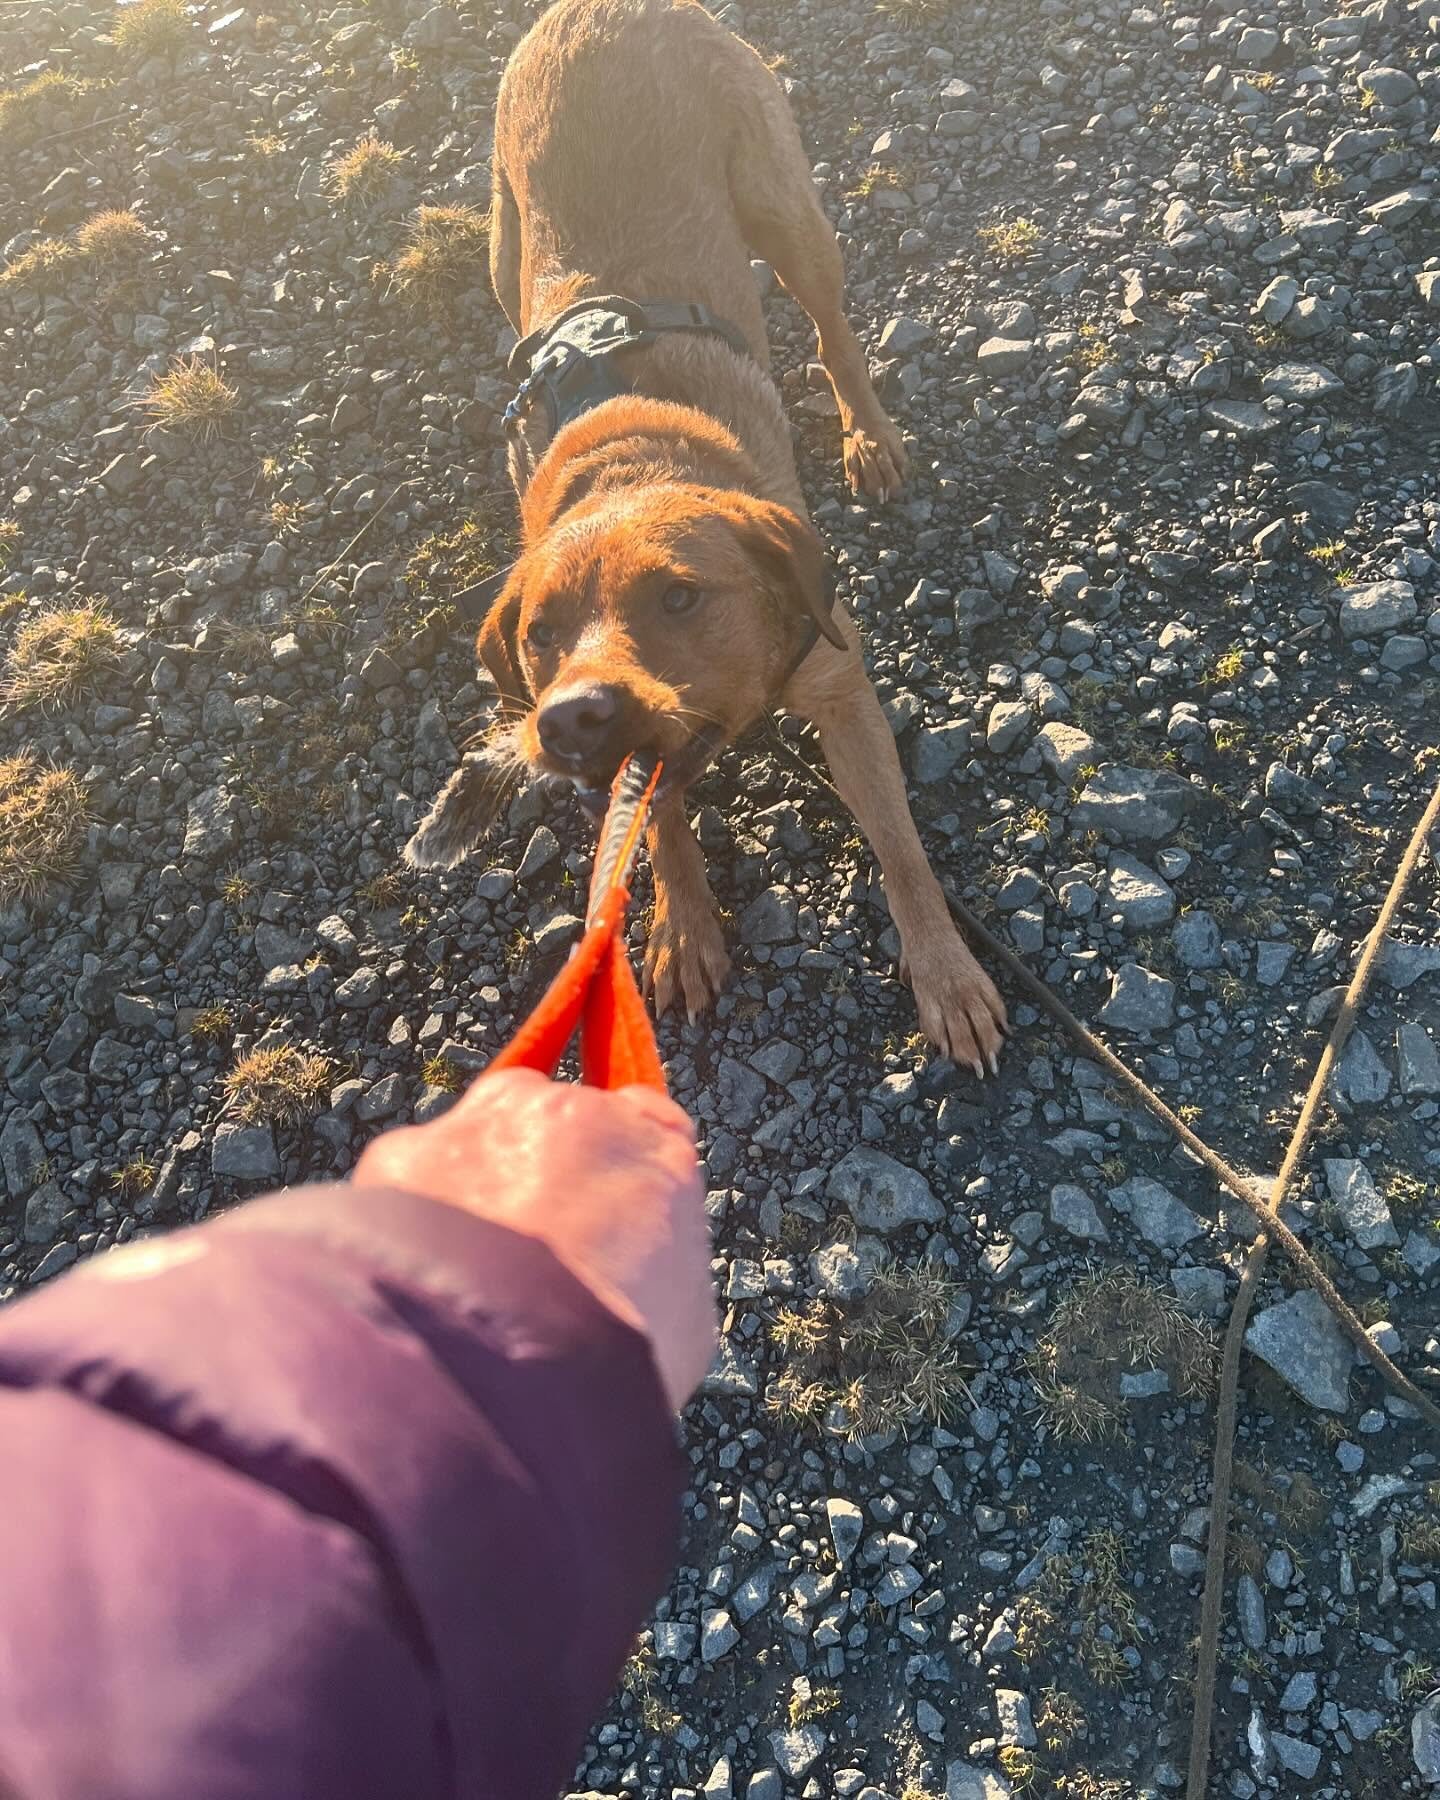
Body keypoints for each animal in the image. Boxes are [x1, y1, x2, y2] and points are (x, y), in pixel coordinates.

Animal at [408, 0, 1000, 1072]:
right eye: (539, 637)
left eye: (680, 595)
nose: (570, 720)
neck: (629, 459)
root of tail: (597, 9)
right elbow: (656, 824)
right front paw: (682, 924)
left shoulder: (841, 683)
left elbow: (900, 850)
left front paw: (946, 976)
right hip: (505, 246)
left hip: (785, 208)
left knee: (833, 329)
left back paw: (870, 435)